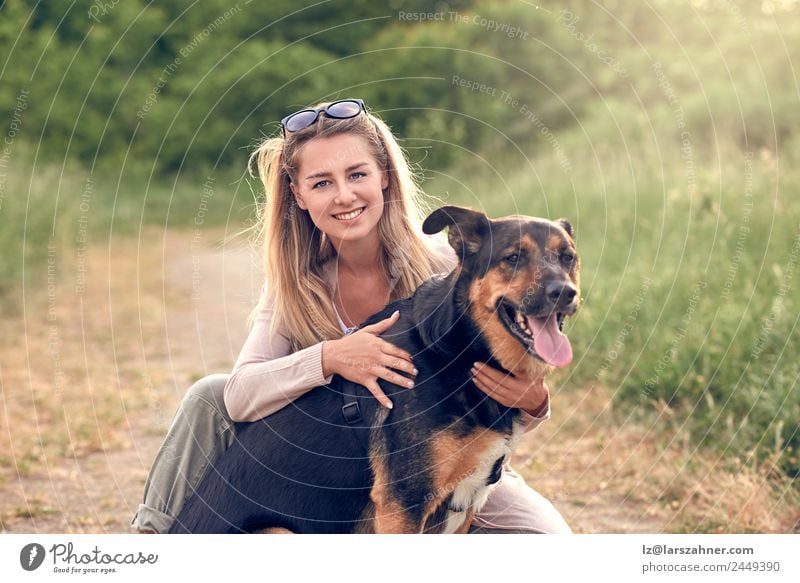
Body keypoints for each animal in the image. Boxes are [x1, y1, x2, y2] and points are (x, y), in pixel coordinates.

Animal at [170, 205, 580, 532]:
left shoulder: (463, 506)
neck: (456, 349)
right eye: (513, 258)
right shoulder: (404, 503)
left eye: (568, 258)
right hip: (276, 531)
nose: (565, 293)